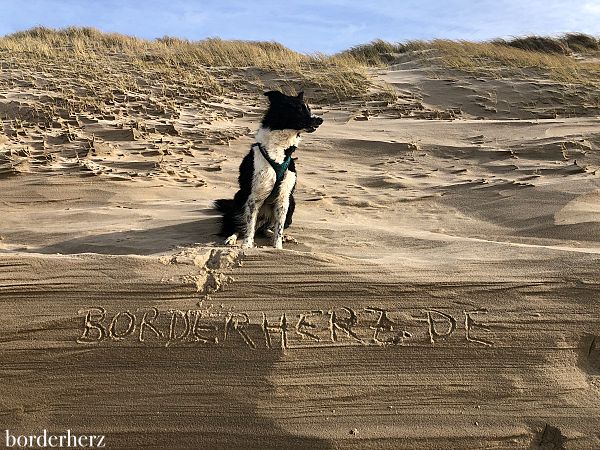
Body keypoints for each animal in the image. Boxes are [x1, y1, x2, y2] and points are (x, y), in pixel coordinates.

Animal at [216, 89, 324, 248]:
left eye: (309, 109)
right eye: (299, 109)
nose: (320, 120)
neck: (278, 148)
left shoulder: (284, 197)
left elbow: (279, 227)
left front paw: (277, 247)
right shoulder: (254, 196)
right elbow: (249, 225)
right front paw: (247, 246)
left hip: (292, 202)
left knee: (266, 228)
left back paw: (278, 235)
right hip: (239, 198)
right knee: (237, 225)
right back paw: (231, 238)